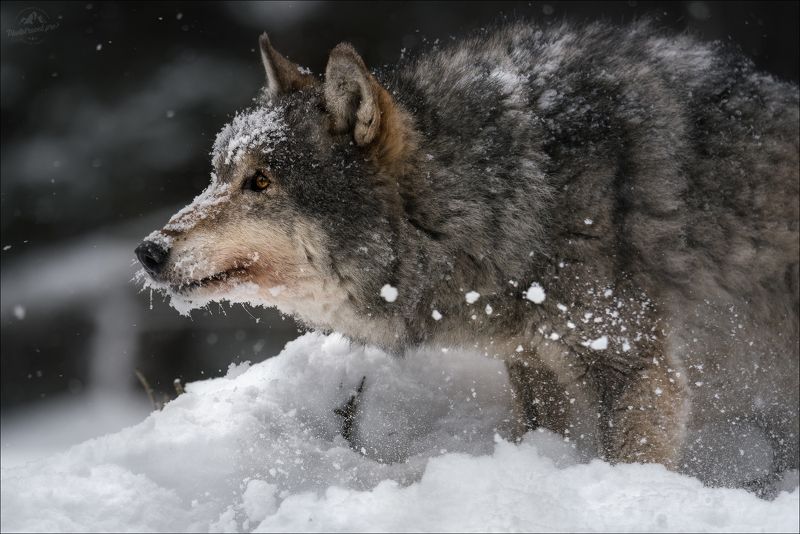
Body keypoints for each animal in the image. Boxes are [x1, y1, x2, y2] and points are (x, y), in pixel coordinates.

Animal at [136, 20, 799, 489]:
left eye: (261, 182)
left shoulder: (635, 365)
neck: (513, 187)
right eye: (218, 174)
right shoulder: (533, 361)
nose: (148, 250)